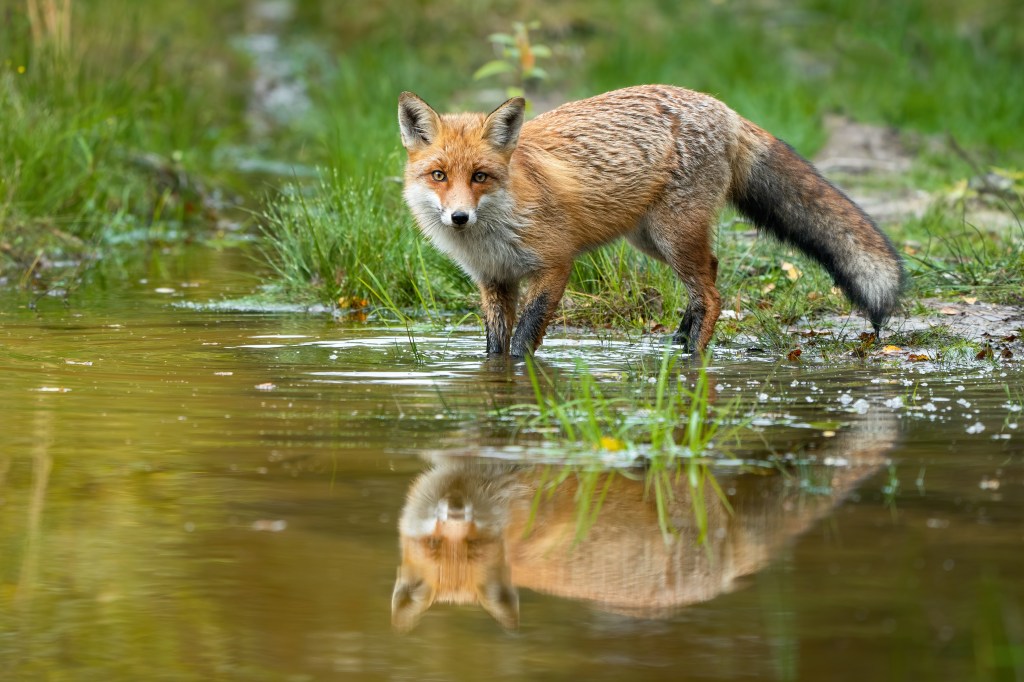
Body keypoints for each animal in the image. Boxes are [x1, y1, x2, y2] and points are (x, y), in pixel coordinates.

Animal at [399, 84, 905, 356]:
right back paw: (679, 340)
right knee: (710, 276)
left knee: (713, 294)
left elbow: (525, 340)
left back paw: (693, 357)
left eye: (480, 176)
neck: (492, 235)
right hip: (652, 241)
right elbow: (495, 349)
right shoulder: (494, 282)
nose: (459, 217)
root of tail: (723, 107)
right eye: (439, 175)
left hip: (673, 235)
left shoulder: (555, 266)